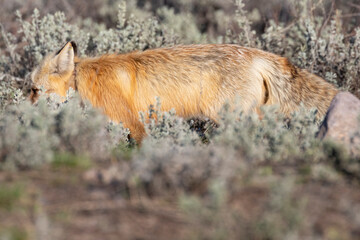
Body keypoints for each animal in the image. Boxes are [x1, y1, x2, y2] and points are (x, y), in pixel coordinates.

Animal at [30, 41, 338, 142]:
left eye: (33, 90)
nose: (21, 111)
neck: (82, 82)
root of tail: (256, 54)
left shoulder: (132, 122)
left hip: (230, 113)